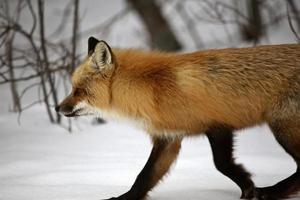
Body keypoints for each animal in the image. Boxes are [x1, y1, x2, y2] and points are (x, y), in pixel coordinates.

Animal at [55, 36, 300, 199]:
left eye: (79, 91)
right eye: (73, 88)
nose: (57, 108)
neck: (152, 90)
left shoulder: (217, 125)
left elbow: (221, 164)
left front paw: (249, 187)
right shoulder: (168, 138)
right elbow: (144, 177)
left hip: (283, 128)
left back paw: (273, 192)